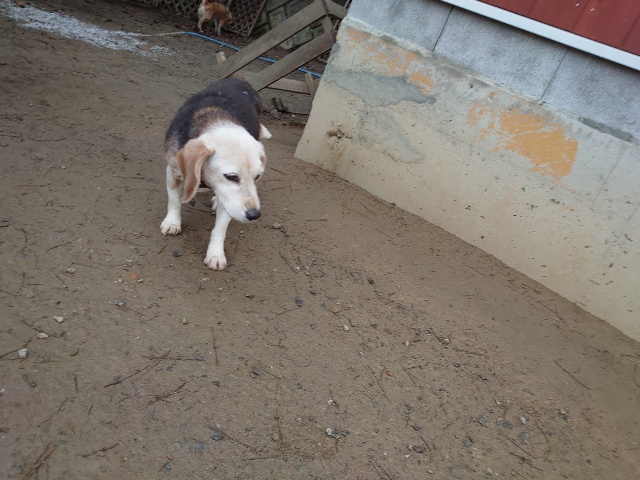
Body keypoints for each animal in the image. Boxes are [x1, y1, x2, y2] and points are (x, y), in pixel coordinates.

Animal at [160, 78, 272, 270]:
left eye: (257, 177)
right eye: (232, 177)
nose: (254, 215)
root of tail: (241, 80)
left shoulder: (229, 202)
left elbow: (220, 229)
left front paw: (216, 254)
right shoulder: (173, 171)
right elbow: (174, 201)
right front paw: (173, 222)